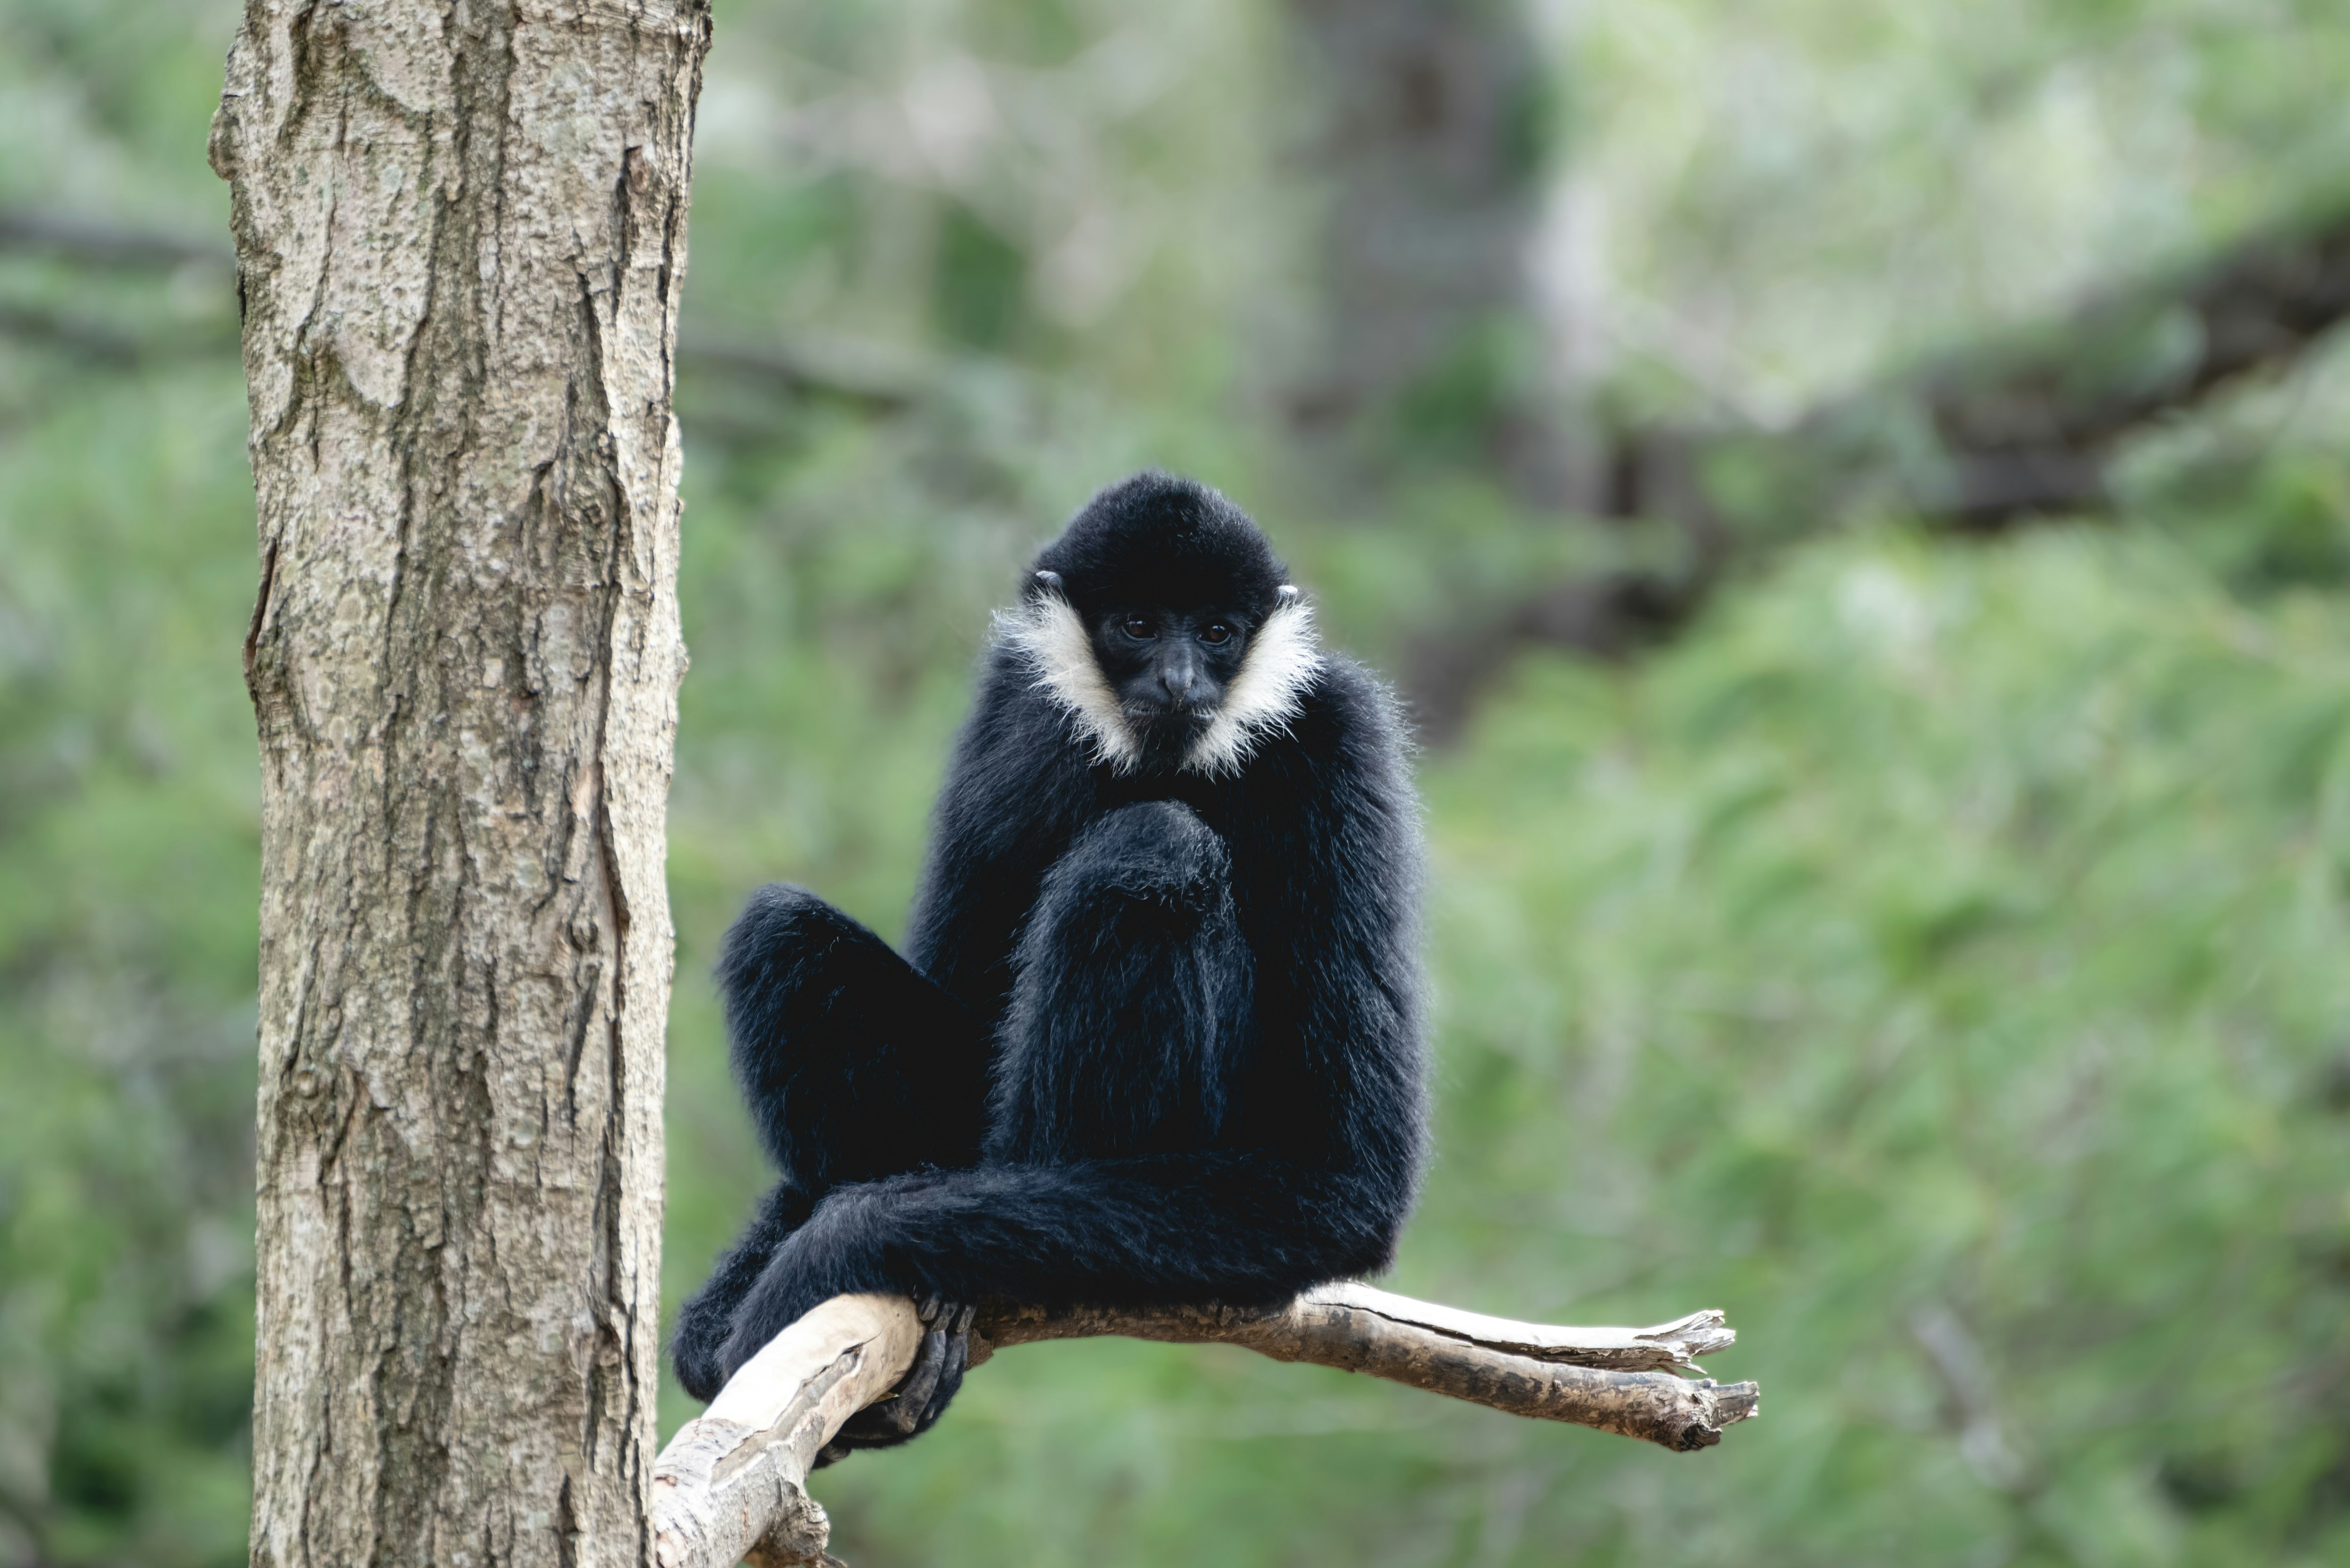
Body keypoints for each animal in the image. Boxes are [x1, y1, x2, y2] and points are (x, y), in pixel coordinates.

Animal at [671, 471, 1427, 1460]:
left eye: (1216, 630)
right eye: (1138, 624)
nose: (1178, 676)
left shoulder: (1339, 737)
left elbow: (1343, 1181)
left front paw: (818, 1259)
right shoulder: (1009, 697)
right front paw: (749, 1275)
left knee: (1154, 846)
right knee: (780, 928)